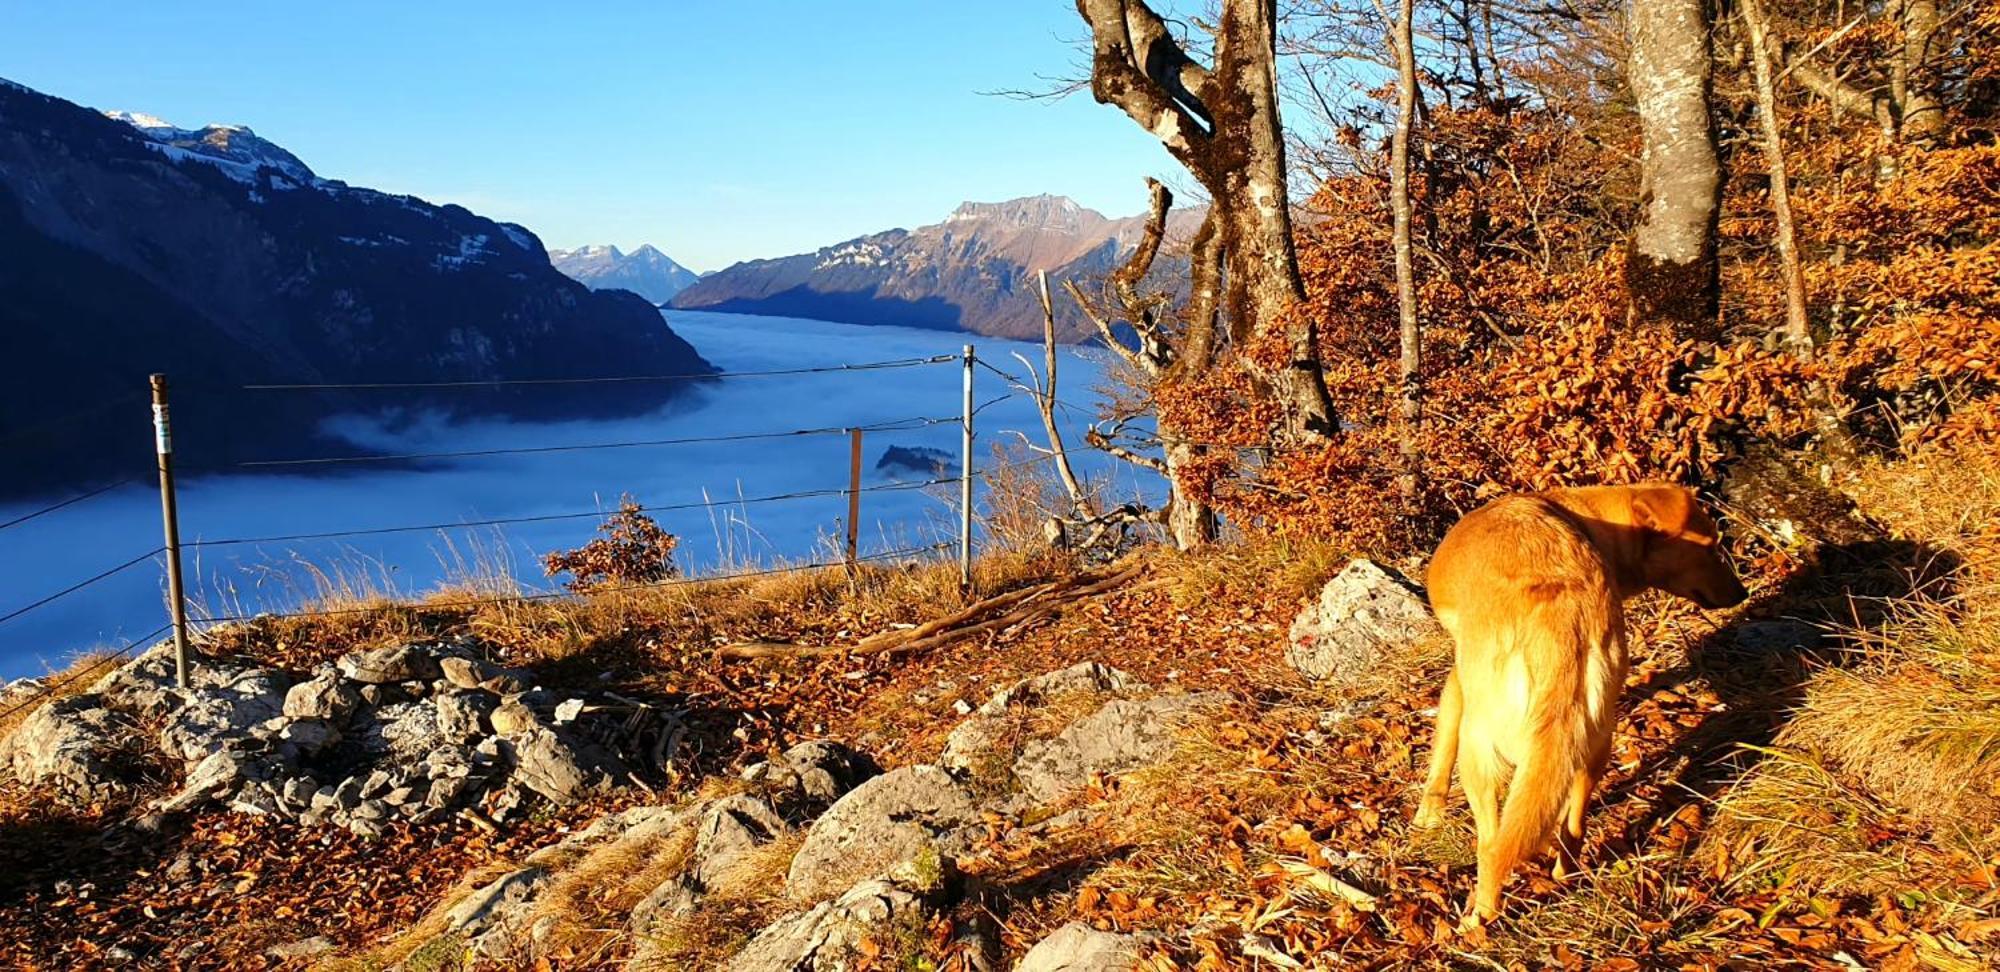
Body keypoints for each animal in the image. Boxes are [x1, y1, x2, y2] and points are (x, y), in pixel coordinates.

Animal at [1408, 482, 1752, 924]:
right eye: (1710, 546)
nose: (1742, 593)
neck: (1586, 520)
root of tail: (1562, 611)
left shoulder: (1457, 682)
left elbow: (1441, 751)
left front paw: (1427, 816)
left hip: (1481, 750)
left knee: (1493, 845)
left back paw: (1479, 919)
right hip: (1593, 742)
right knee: (1572, 824)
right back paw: (1563, 871)